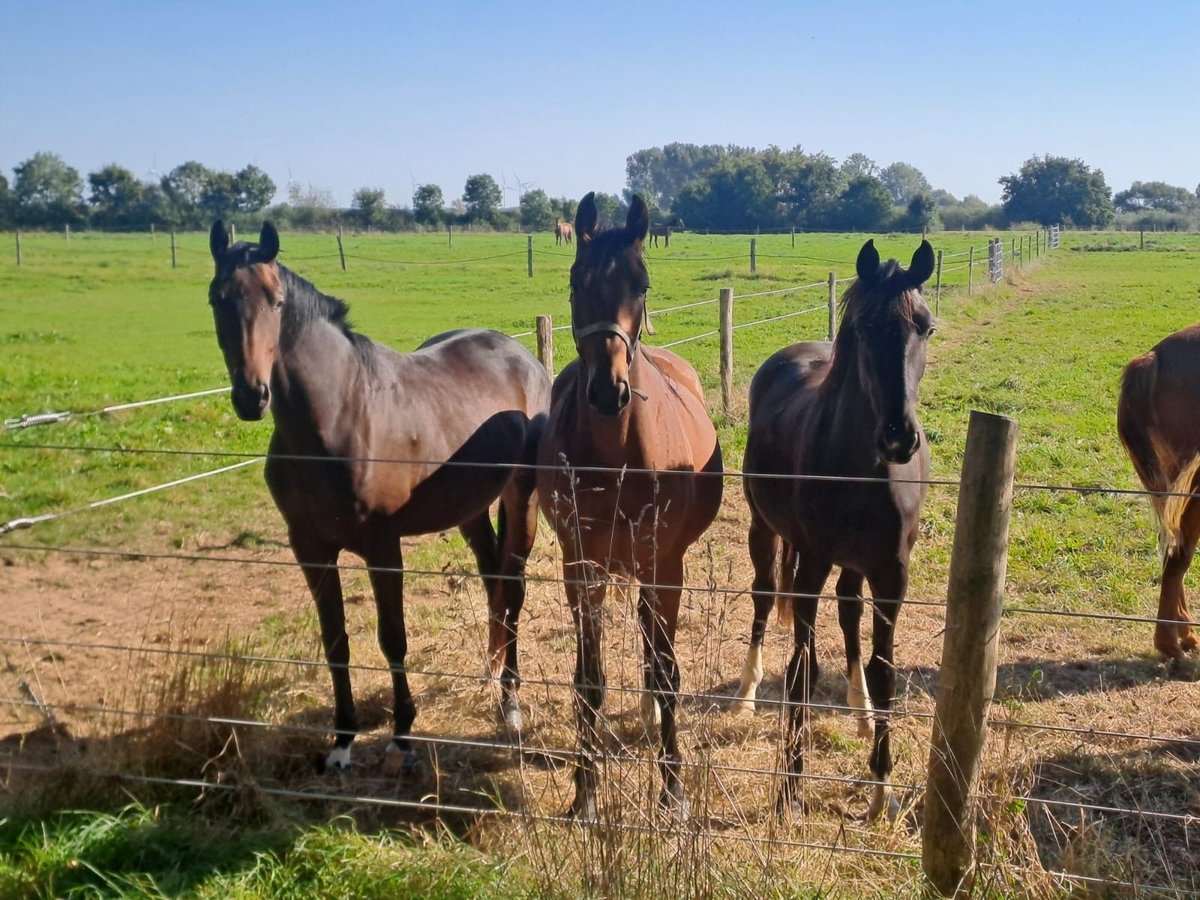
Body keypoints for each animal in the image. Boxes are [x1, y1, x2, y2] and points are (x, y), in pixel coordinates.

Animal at [207, 220, 552, 777]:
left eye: (276, 302)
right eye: (217, 298)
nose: (251, 396)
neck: (339, 416)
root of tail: (523, 358)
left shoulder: (382, 548)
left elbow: (393, 638)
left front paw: (402, 738)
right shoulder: (310, 549)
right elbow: (336, 642)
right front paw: (342, 741)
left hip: (522, 497)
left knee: (513, 589)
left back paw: (512, 705)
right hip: (471, 510)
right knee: (493, 584)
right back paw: (492, 675)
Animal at [739, 240, 936, 825]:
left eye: (926, 327)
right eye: (867, 327)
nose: (899, 438)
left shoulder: (892, 574)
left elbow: (885, 669)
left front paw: (881, 793)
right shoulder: (812, 564)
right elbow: (800, 672)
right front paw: (789, 791)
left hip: (853, 564)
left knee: (849, 610)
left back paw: (861, 709)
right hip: (765, 531)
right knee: (764, 596)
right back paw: (746, 693)